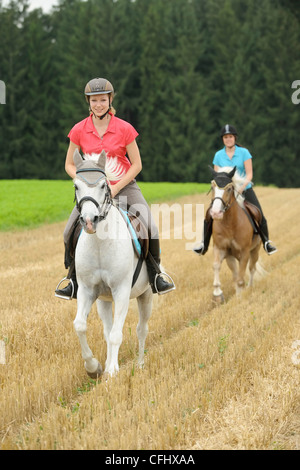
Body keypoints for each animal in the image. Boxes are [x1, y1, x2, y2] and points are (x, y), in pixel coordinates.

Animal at [72, 151, 152, 378]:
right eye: (76, 186)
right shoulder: (87, 290)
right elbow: (80, 325)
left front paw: (113, 371)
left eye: (102, 186)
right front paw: (94, 368)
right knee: (107, 330)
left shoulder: (122, 290)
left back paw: (140, 364)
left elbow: (117, 334)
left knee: (141, 328)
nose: (89, 221)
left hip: (145, 294)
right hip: (104, 300)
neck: (99, 243)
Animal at [210, 167, 262, 302]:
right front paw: (217, 294)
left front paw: (239, 297)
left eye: (229, 188)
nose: (216, 213)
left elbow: (242, 276)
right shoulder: (221, 249)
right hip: (231, 257)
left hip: (255, 250)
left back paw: (250, 287)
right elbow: (216, 265)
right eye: (212, 187)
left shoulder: (244, 252)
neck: (230, 224)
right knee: (236, 273)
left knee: (252, 268)